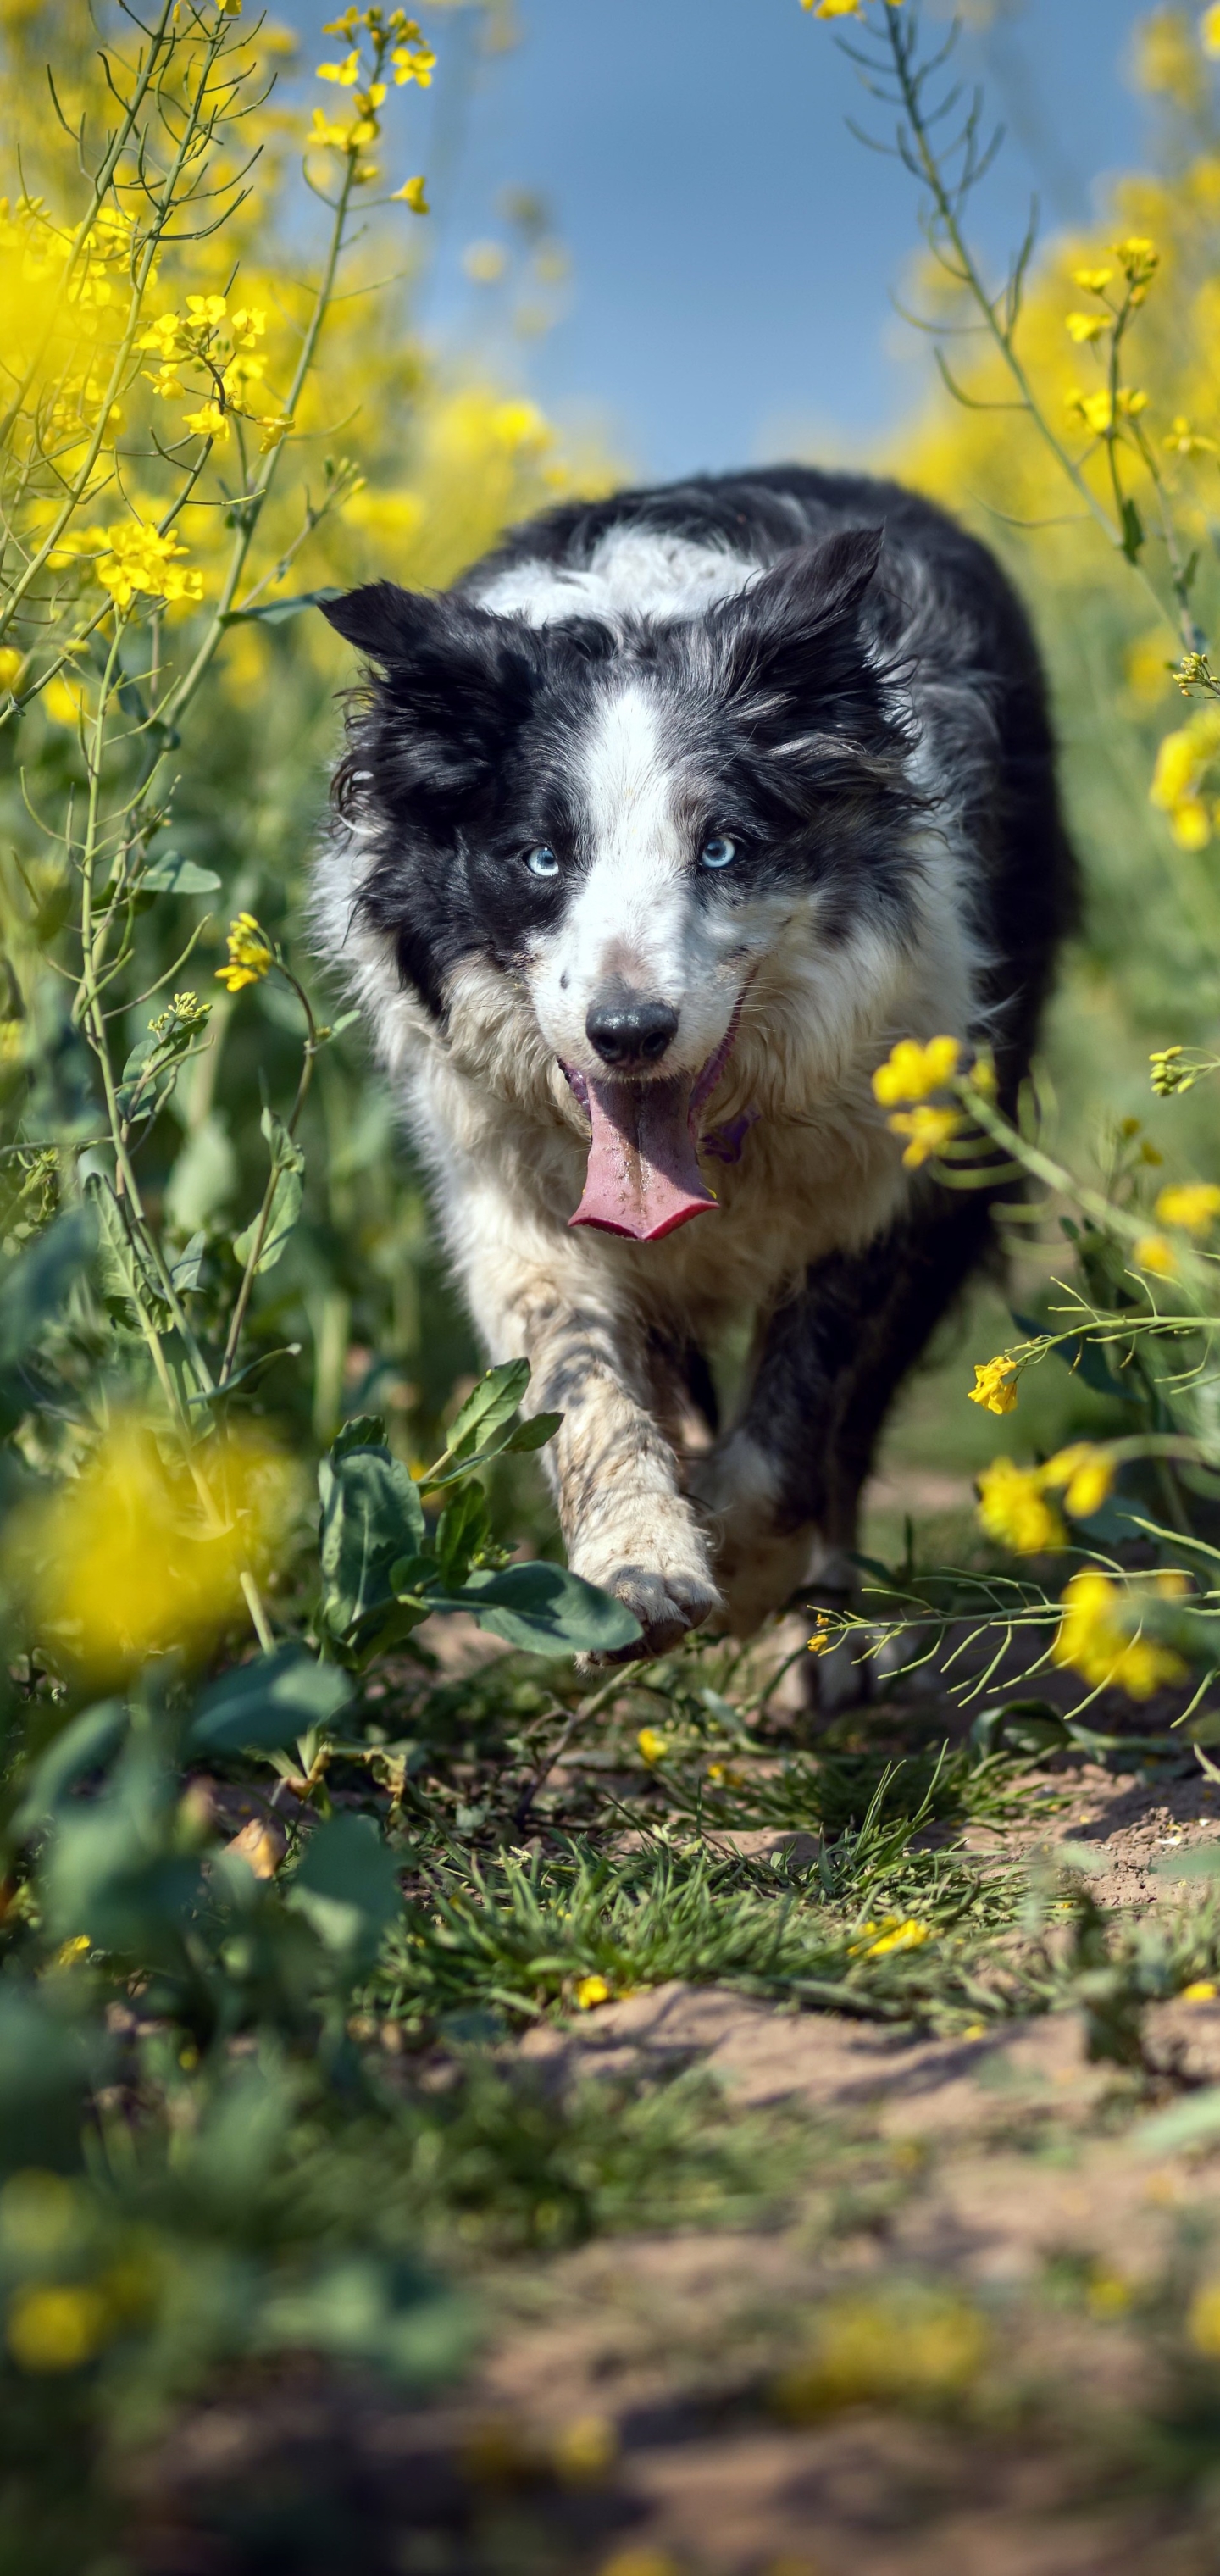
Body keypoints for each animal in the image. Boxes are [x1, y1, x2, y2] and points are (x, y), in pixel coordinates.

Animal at [313, 474, 1075, 1658]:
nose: (628, 1032)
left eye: (721, 849)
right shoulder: (509, 1193)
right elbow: (577, 1372)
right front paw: (640, 1564)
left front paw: (748, 1568)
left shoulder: (896, 1176)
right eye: (543, 858)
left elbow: (802, 1419)